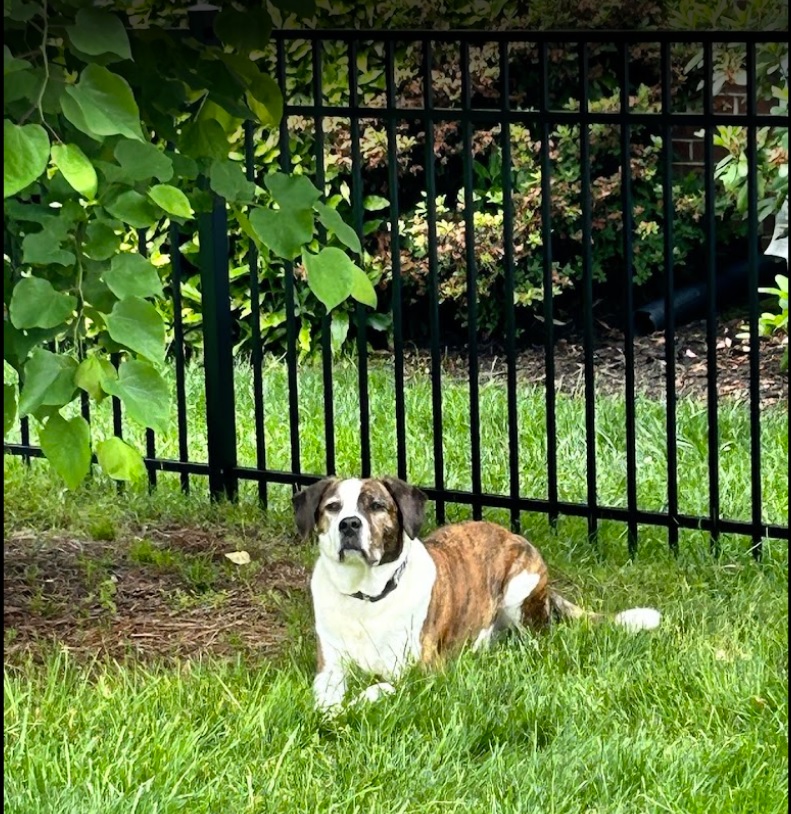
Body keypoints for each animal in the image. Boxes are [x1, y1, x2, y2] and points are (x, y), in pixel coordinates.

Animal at [292, 474, 664, 712]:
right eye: (333, 507)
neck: (365, 596)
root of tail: (508, 533)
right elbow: (324, 693)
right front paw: (330, 708)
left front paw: (354, 704)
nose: (349, 524)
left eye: (377, 506)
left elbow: (379, 687)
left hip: (519, 589)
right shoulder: (330, 667)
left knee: (537, 637)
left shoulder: (420, 672)